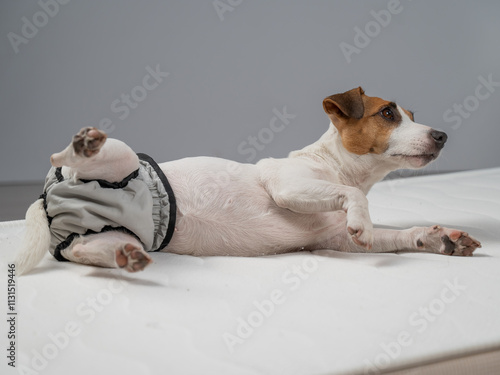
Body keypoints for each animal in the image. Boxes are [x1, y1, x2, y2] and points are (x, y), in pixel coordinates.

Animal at [15, 86, 482, 274]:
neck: (333, 164)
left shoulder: (334, 239)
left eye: (413, 116)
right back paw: (83, 145)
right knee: (64, 154)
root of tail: (49, 194)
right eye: (388, 113)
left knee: (87, 251)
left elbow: (394, 234)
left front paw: (440, 239)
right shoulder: (291, 188)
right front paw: (363, 219)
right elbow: (353, 198)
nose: (442, 135)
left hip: (106, 233)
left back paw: (123, 258)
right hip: (120, 156)